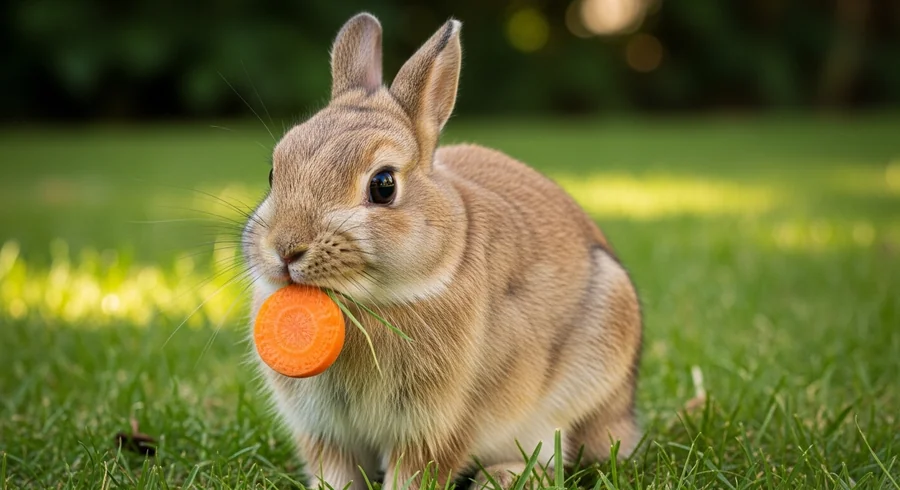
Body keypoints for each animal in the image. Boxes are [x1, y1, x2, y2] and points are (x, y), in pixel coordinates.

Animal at [242, 12, 642, 490]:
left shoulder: (436, 426)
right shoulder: (325, 432)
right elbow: (335, 472)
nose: (285, 249)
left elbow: (415, 473)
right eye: (273, 172)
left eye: (383, 185)